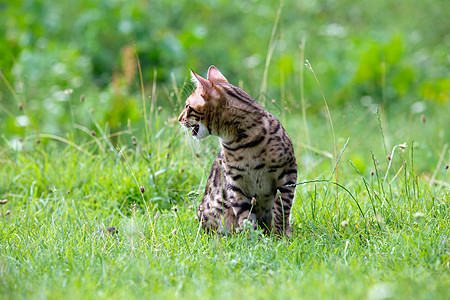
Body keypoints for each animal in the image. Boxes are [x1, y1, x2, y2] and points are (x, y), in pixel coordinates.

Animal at [178, 65, 298, 237]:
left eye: (187, 106)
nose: (179, 118)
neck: (243, 142)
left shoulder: (288, 171)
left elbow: (282, 208)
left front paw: (280, 236)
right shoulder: (235, 184)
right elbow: (245, 217)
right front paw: (255, 240)